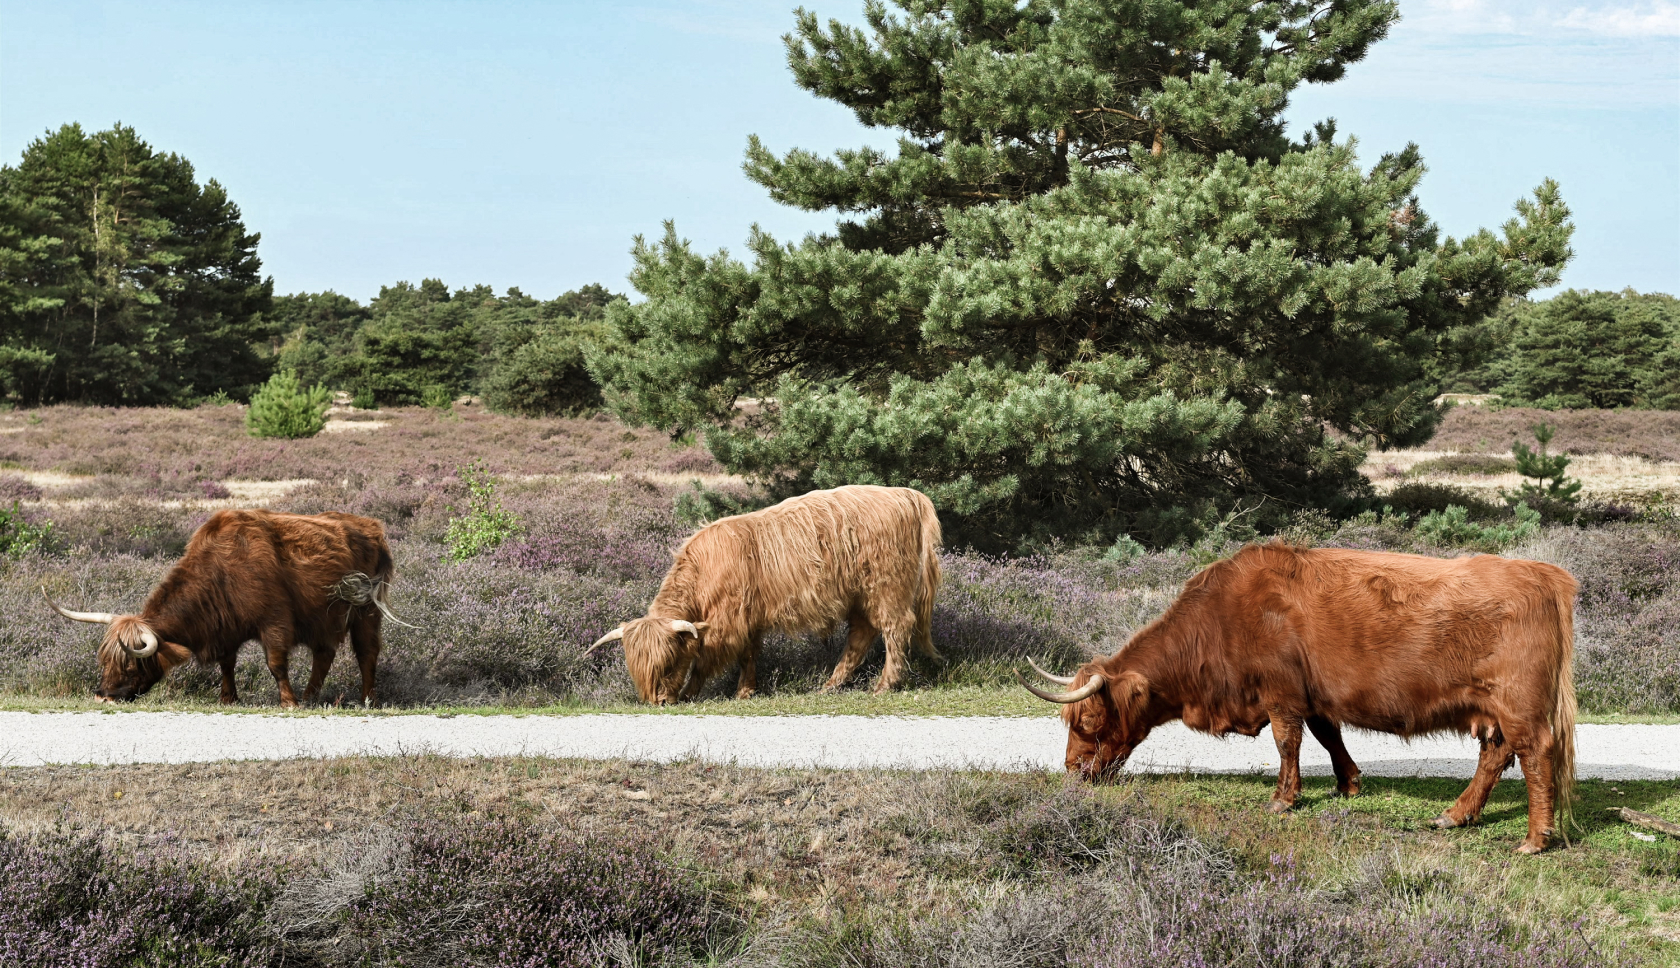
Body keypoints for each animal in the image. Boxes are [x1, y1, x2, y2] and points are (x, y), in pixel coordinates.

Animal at [45, 510, 393, 705]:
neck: (222, 572)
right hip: (324, 618)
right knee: (324, 655)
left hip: (366, 612)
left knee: (367, 652)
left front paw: (288, 702)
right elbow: (227, 664)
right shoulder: (226, 629)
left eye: (131, 665)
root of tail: (373, 526)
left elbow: (276, 664)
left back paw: (366, 699)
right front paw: (228, 698)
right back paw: (311, 697)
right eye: (104, 660)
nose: (102, 695)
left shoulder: (275, 622)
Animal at [588, 484, 947, 702]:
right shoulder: (748, 618)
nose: (659, 702)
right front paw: (745, 691)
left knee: (895, 627)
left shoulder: (728, 620)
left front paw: (691, 693)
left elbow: (706, 660)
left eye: (669, 662)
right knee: (861, 635)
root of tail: (906, 494)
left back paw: (884, 685)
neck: (704, 570)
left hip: (886, 586)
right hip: (859, 596)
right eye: (637, 671)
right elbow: (748, 655)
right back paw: (828, 686)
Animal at [1014, 544, 1579, 853]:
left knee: (1535, 756)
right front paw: (1348, 784)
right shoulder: (1314, 697)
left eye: (1088, 720)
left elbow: (1288, 744)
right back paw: (1456, 815)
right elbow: (1328, 738)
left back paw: (1535, 838)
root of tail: (1542, 574)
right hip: (1494, 710)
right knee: (1495, 756)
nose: (1073, 772)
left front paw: (1284, 798)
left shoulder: (1281, 695)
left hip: (1520, 704)